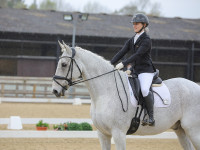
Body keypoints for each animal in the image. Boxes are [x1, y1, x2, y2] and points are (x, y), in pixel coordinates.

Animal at [52, 42, 200, 150]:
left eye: (64, 64)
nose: (55, 91)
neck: (105, 92)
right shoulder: (103, 134)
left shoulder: (119, 134)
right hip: (181, 130)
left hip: (193, 130)